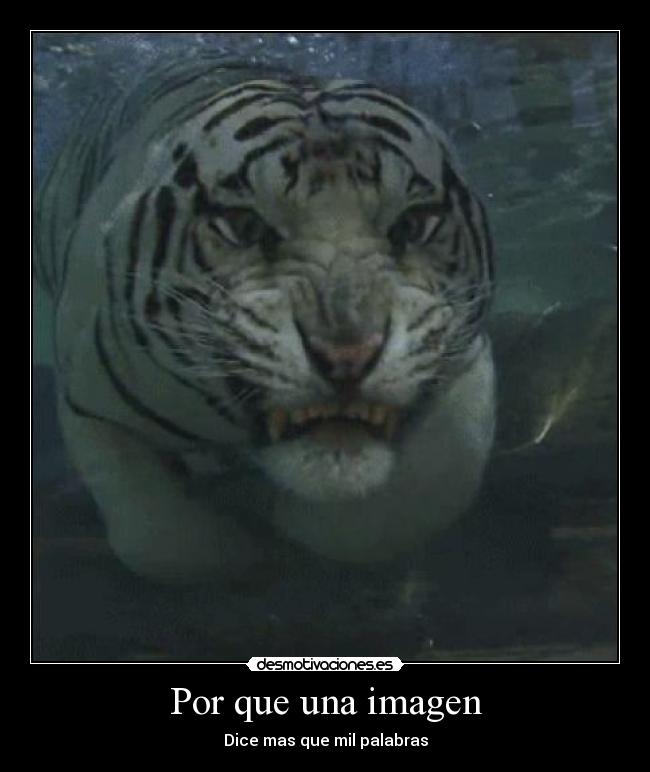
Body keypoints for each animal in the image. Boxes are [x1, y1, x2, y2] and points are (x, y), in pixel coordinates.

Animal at [36, 57, 496, 583]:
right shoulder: (88, 401)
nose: (347, 357)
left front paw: (285, 518)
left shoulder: (466, 363)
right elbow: (160, 537)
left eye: (414, 225)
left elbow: (427, 489)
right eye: (244, 227)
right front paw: (248, 548)